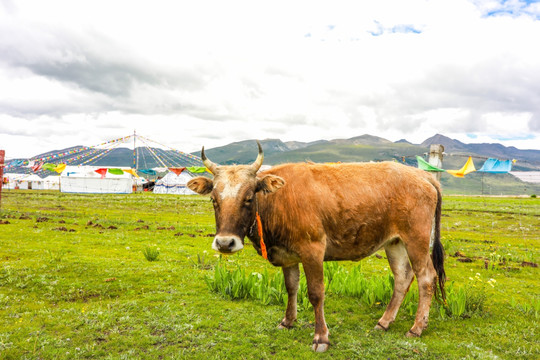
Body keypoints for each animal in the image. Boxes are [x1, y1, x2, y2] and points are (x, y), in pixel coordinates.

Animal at [188, 142, 446, 352]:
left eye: (249, 197)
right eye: (213, 199)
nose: (225, 243)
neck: (280, 200)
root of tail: (423, 176)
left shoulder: (312, 250)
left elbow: (315, 293)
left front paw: (321, 338)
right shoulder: (288, 255)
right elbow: (291, 287)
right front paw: (287, 321)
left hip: (416, 239)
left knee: (425, 277)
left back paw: (416, 327)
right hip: (394, 243)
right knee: (403, 277)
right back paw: (384, 322)